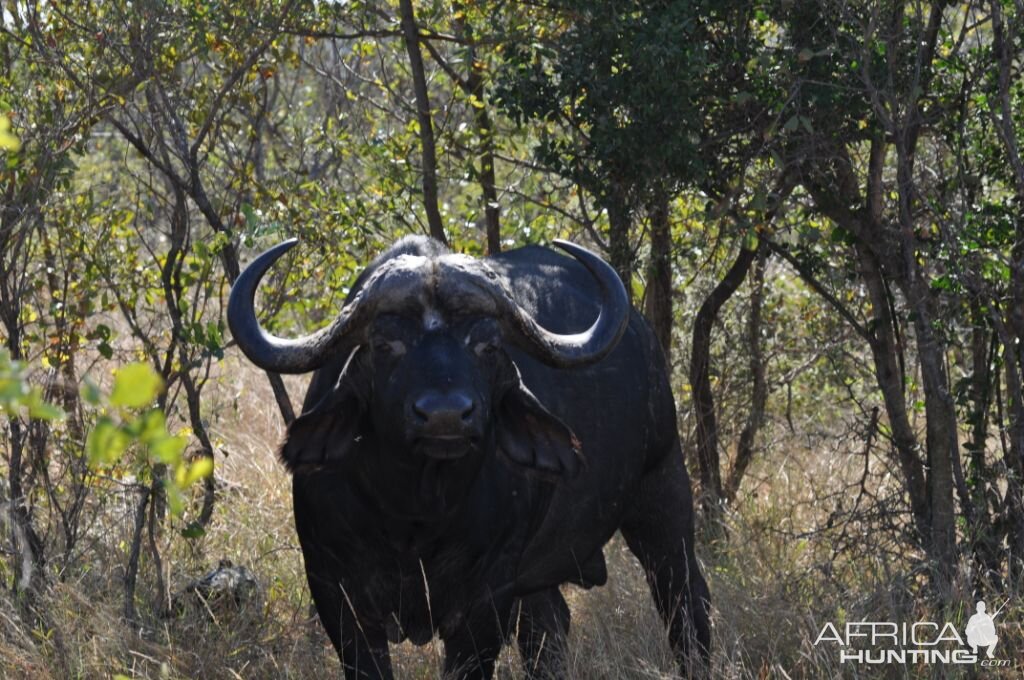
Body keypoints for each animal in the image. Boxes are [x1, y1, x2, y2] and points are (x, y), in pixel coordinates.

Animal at [227, 236, 708, 675]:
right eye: (385, 345)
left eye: (487, 346)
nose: (445, 416)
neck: (413, 515)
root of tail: (644, 339)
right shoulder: (334, 589)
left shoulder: (488, 597)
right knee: (548, 629)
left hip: (663, 491)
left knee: (685, 599)